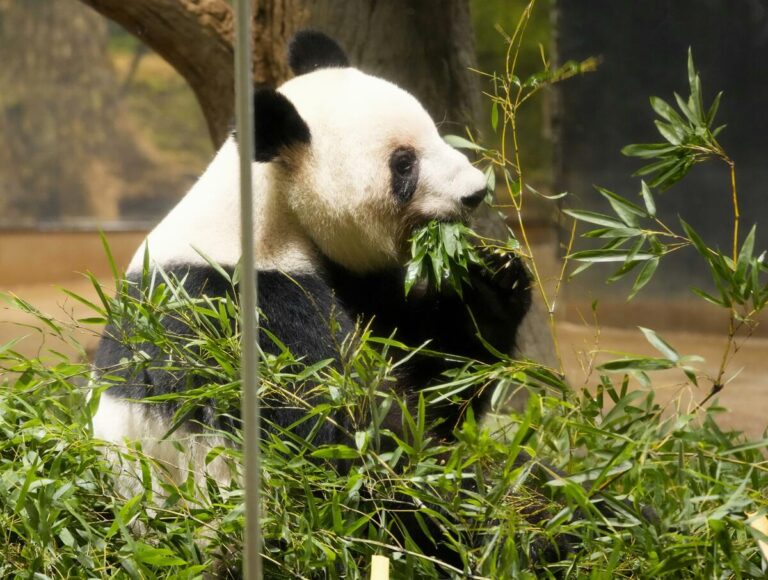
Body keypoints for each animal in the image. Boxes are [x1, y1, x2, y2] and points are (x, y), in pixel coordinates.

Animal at [92, 30, 532, 566]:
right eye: (404, 164)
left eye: (435, 133)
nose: (475, 192)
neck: (266, 211)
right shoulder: (250, 310)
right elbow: (342, 435)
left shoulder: (359, 283)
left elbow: (438, 376)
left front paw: (493, 278)